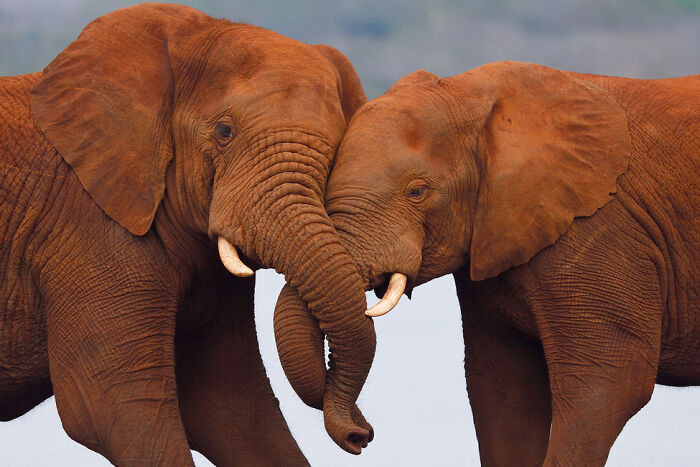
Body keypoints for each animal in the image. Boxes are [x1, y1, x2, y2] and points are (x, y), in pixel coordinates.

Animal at [0, 2, 377, 465]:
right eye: (224, 132)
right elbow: (113, 411)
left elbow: (232, 407)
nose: (360, 435)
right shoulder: (86, 229)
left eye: (339, 149)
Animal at [277, 61, 700, 465]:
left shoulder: (599, 231)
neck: (476, 99)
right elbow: (503, 391)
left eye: (417, 192)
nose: (361, 436)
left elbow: (606, 385)